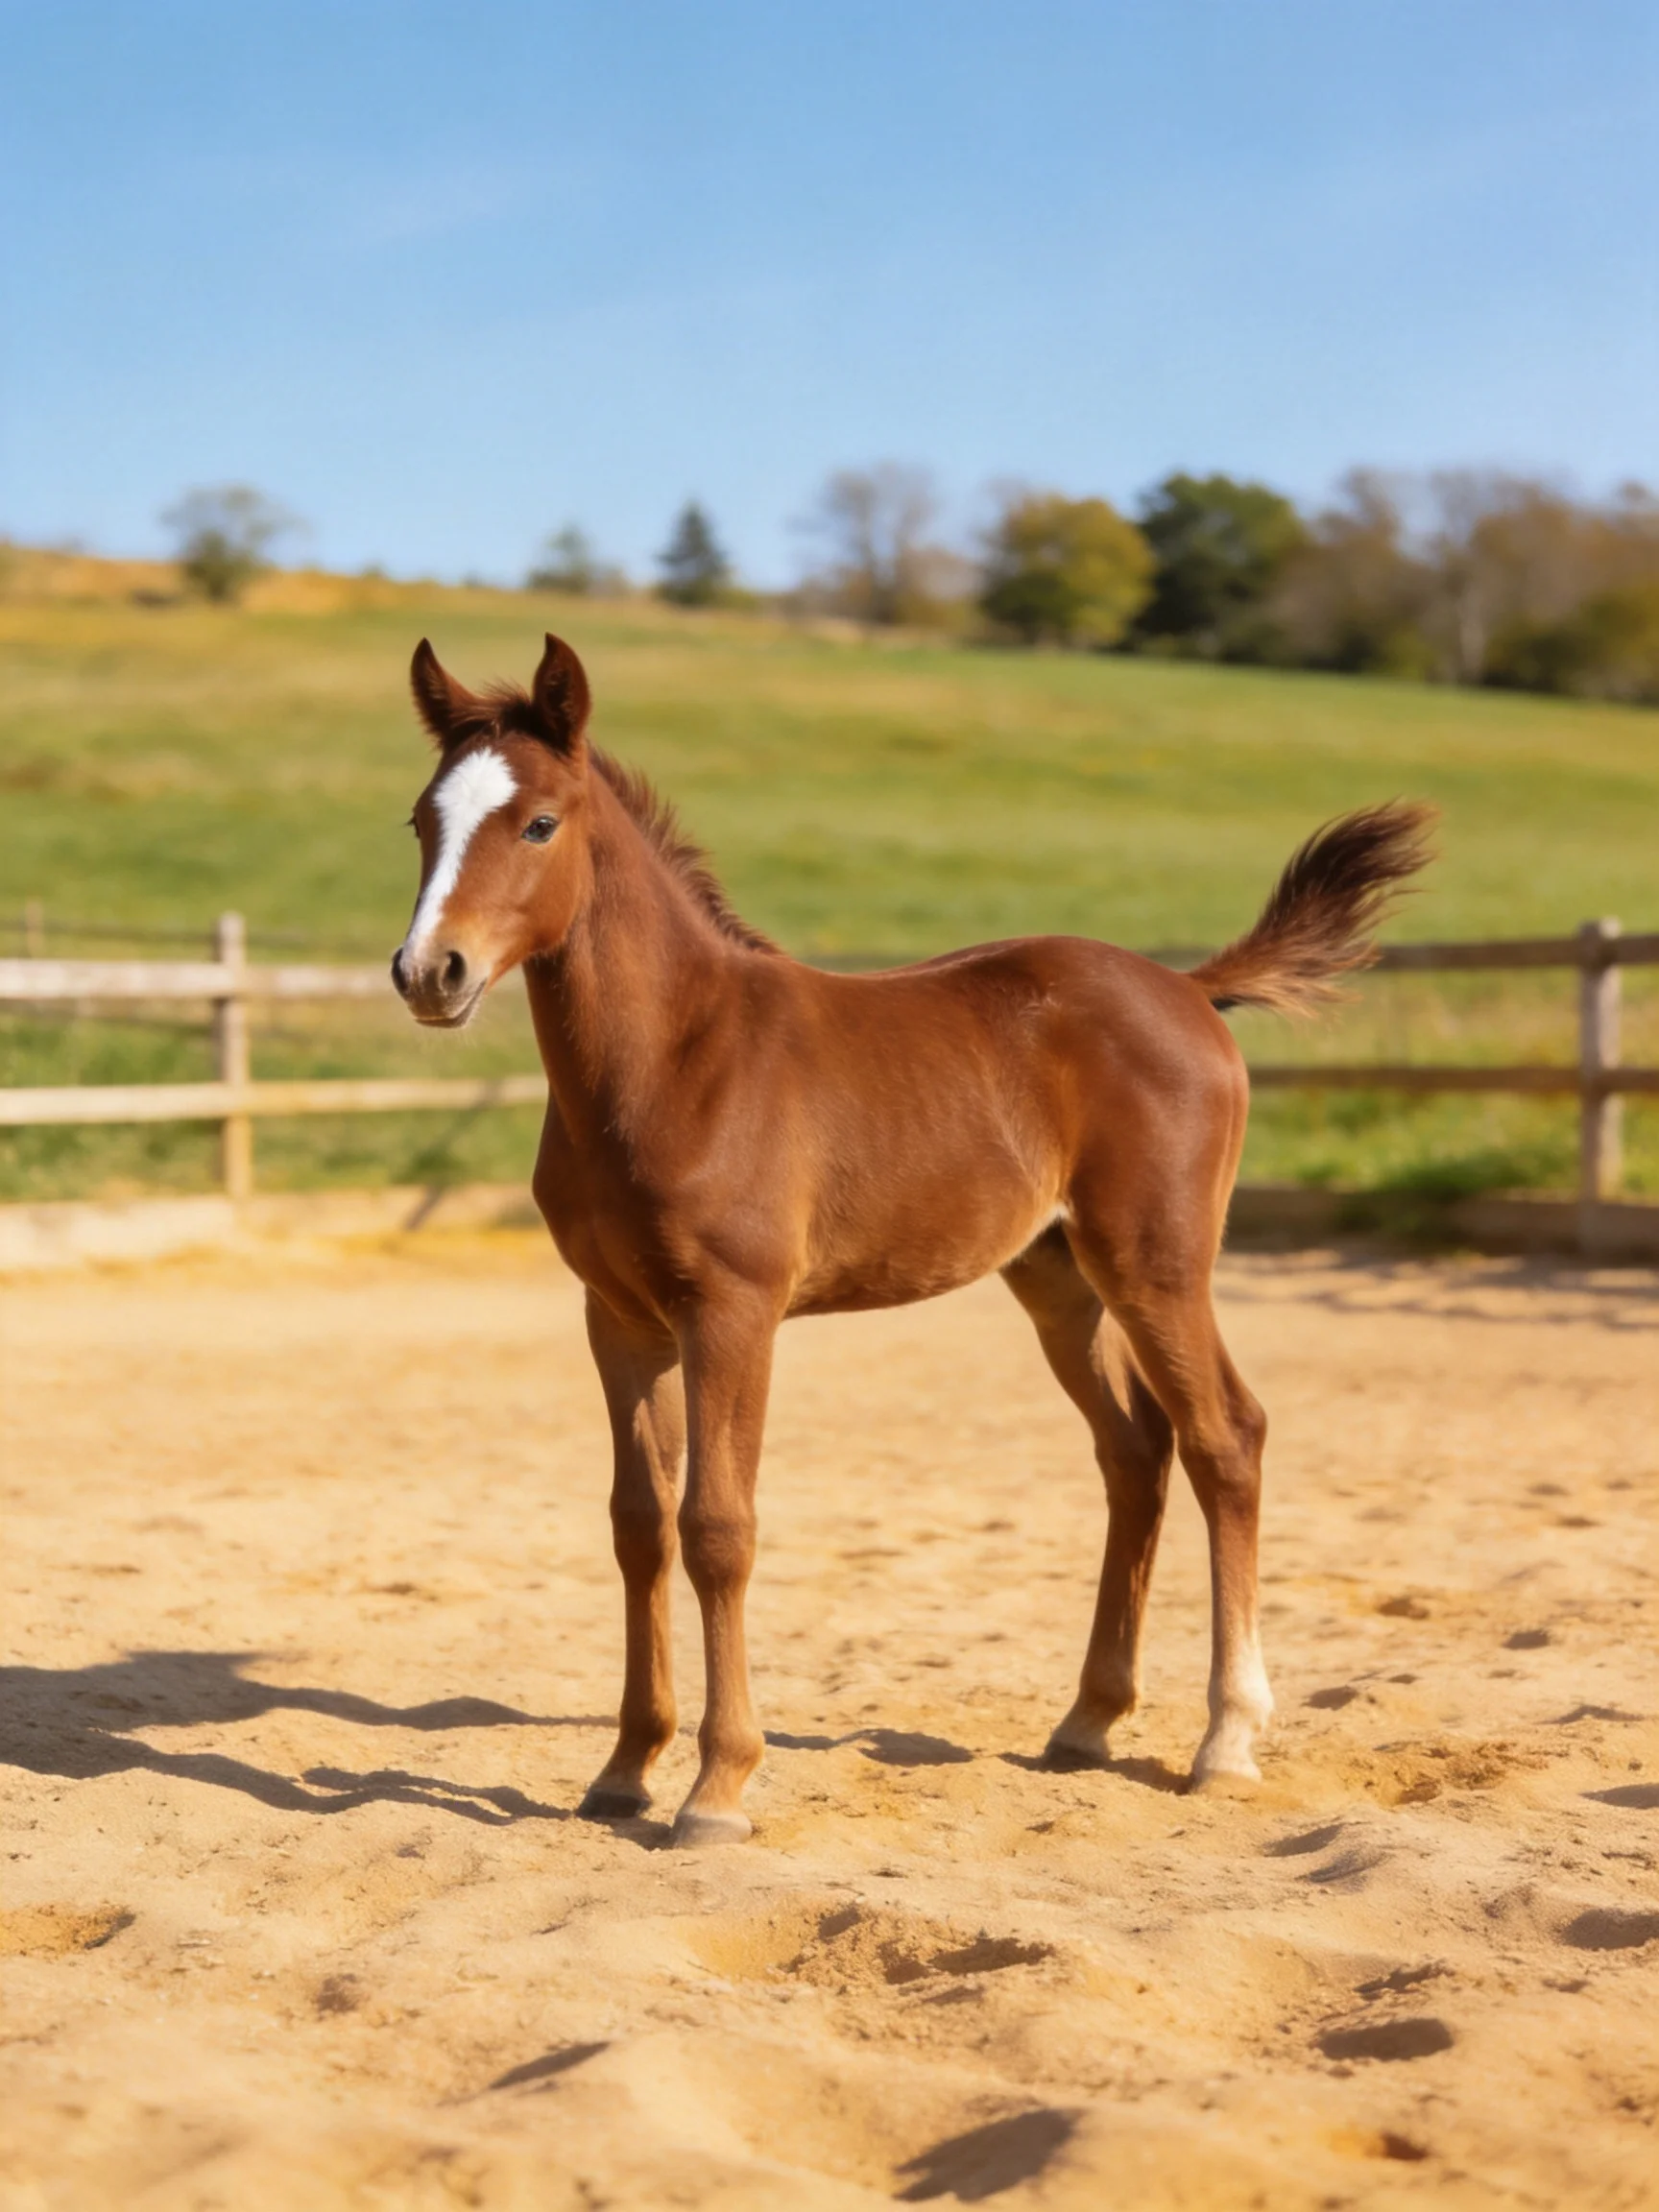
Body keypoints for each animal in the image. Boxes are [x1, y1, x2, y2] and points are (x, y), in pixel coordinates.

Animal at [392, 633, 1433, 1845]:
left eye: (540, 823)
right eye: (421, 819)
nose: (429, 973)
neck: (675, 1058)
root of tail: (1188, 987)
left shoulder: (733, 1312)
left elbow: (717, 1526)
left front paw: (718, 1786)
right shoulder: (619, 1319)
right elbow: (637, 1525)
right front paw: (623, 1770)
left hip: (1157, 1265)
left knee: (1228, 1437)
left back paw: (1225, 1741)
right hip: (1059, 1281)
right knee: (1136, 1452)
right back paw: (1087, 1721)